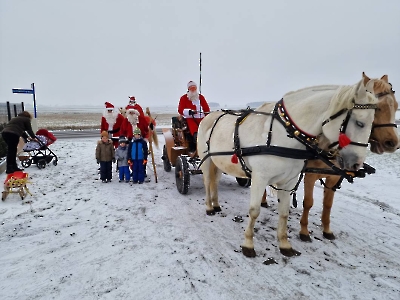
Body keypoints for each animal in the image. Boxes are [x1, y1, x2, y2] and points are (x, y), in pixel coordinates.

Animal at [198, 74, 380, 256]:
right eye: (360, 123)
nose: (356, 164)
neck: (282, 135)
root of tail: (208, 116)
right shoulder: (259, 178)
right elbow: (254, 210)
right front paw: (248, 244)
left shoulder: (289, 181)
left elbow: (284, 213)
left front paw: (284, 244)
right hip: (206, 160)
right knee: (207, 182)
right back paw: (209, 207)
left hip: (219, 162)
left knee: (215, 182)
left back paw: (216, 204)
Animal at [300, 75, 396, 241]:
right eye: (378, 108)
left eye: (396, 106)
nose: (394, 143)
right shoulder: (310, 175)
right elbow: (308, 202)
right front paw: (304, 231)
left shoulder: (333, 177)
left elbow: (328, 204)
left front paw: (327, 229)